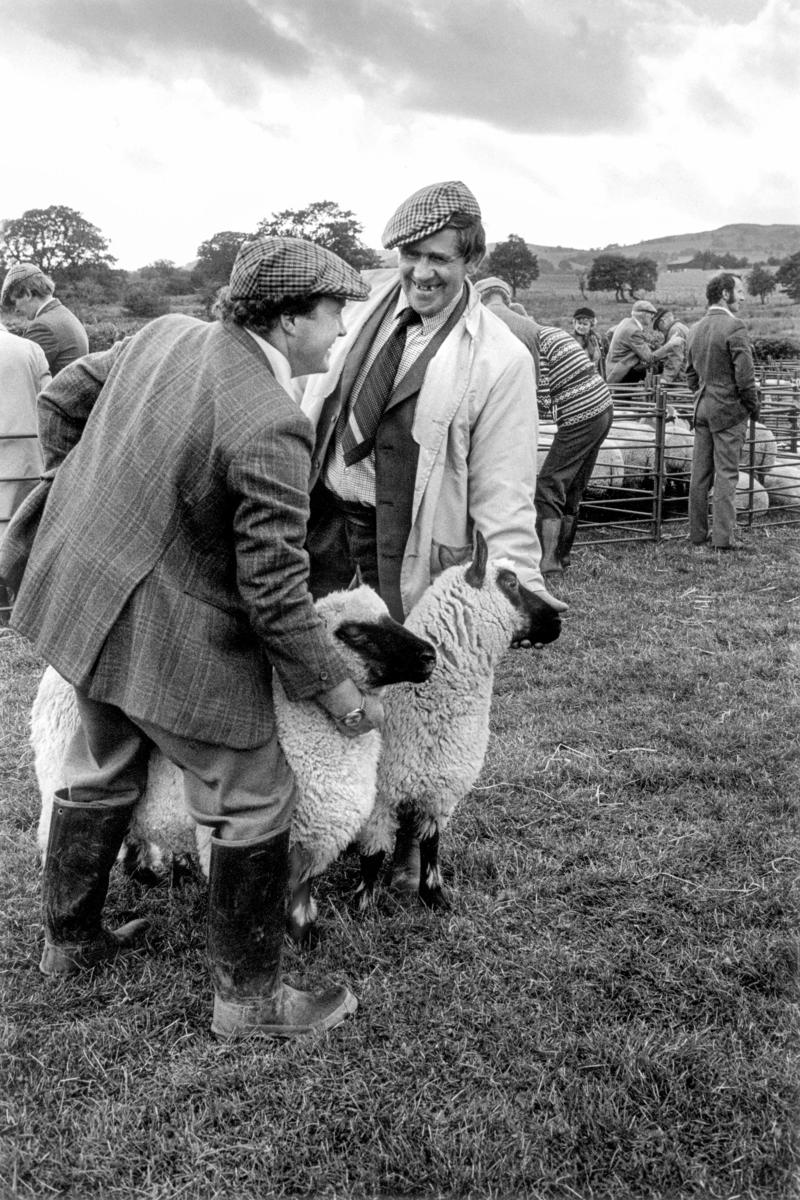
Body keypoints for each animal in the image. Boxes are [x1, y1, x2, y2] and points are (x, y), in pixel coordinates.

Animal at [32, 580, 438, 936]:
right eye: (351, 633)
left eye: (389, 615)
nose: (429, 655)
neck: (298, 735)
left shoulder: (313, 835)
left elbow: (300, 893)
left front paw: (303, 936)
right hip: (54, 776)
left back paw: (142, 874)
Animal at [352, 530, 566, 912]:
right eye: (510, 582)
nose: (558, 622)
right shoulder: (381, 794)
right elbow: (372, 855)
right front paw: (362, 907)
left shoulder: (442, 790)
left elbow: (431, 847)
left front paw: (435, 897)